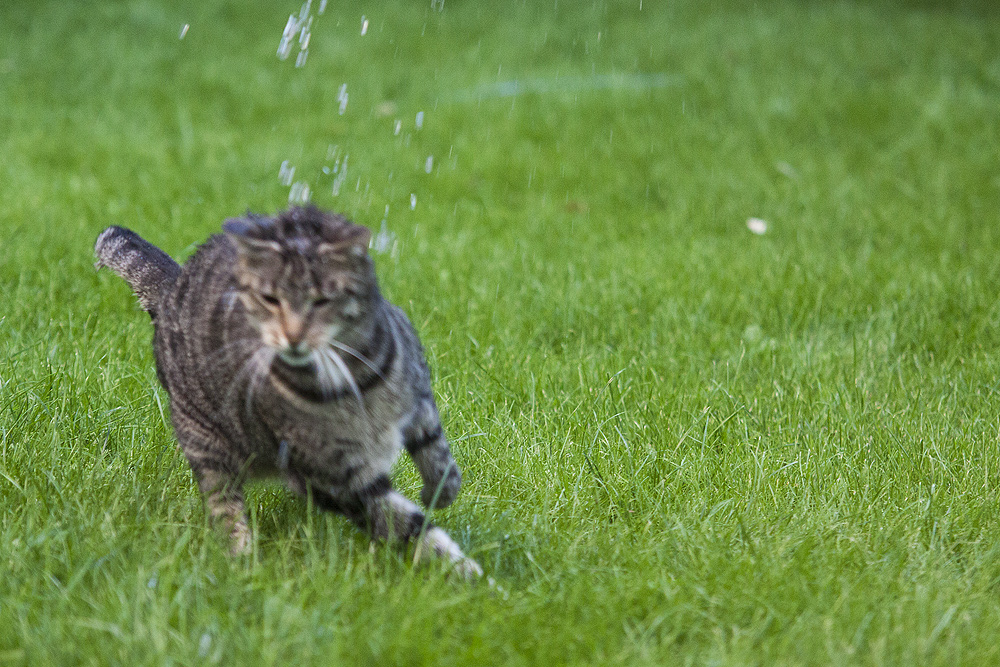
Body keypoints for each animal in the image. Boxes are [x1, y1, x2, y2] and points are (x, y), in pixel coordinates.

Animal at [95, 206, 482, 576]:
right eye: (270, 300)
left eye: (322, 301)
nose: (293, 335)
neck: (352, 384)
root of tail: (174, 285)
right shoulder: (338, 478)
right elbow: (404, 523)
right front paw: (463, 570)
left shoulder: (418, 396)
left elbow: (436, 451)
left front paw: (440, 492)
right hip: (208, 445)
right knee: (225, 508)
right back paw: (243, 563)